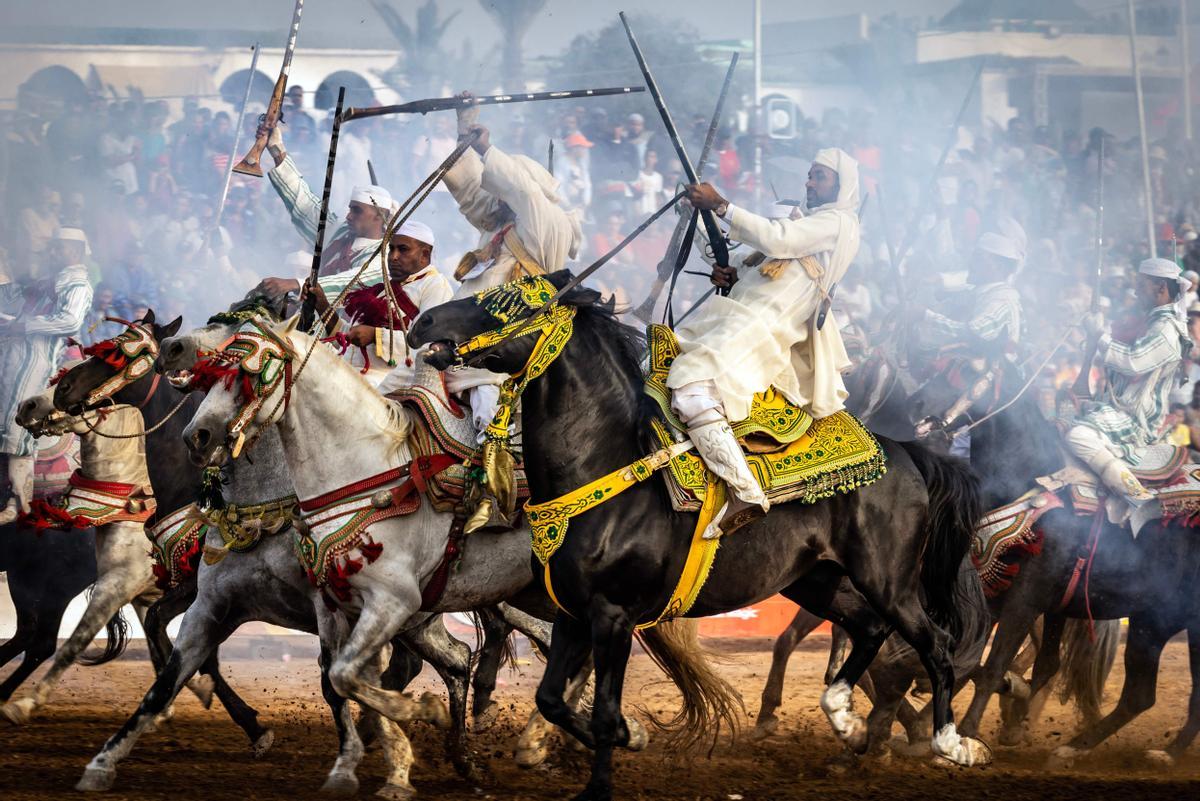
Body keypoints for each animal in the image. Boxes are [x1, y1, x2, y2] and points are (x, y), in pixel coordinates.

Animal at [412, 272, 993, 796]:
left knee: (935, 643)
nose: (423, 321)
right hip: (815, 580)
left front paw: (601, 780)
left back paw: (951, 743)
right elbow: (552, 699)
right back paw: (845, 722)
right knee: (870, 627)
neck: (607, 470)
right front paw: (632, 734)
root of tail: (905, 451)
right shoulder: (574, 613)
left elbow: (601, 713)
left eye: (508, 303)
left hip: (887, 577)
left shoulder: (613, 617)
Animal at [907, 362, 1200, 762]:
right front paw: (930, 728)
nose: (914, 405)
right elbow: (968, 660)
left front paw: (967, 733)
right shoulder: (998, 593)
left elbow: (993, 665)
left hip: (1157, 624)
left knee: (1143, 696)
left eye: (967, 368)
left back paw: (1090, 749)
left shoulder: (1027, 599)